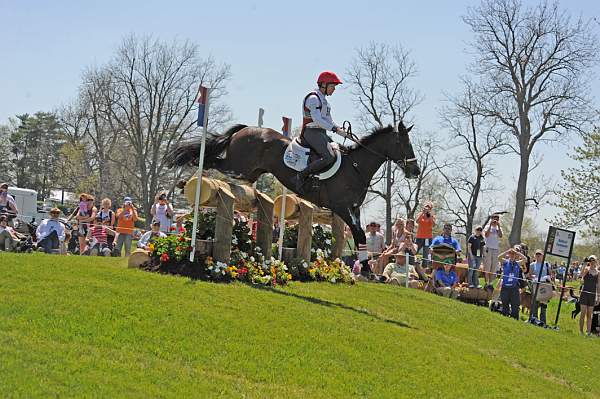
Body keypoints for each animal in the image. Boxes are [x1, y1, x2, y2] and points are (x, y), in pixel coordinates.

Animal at [164, 123, 422, 276]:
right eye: (404, 143)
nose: (415, 170)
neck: (356, 167)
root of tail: (246, 129)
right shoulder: (342, 207)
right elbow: (359, 234)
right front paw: (368, 270)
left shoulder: (354, 210)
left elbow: (360, 237)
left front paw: (367, 268)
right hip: (237, 166)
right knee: (211, 160)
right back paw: (184, 180)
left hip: (248, 172)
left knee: (214, 160)